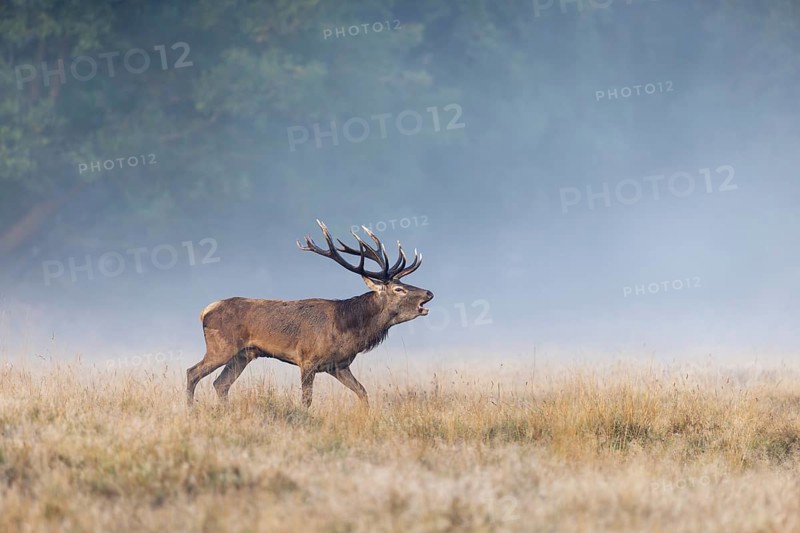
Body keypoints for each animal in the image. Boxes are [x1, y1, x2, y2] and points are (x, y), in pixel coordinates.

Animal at [186, 220, 433, 408]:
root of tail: (204, 311)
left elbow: (363, 392)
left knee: (221, 384)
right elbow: (306, 400)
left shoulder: (339, 365)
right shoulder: (307, 359)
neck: (348, 329)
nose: (429, 293)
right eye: (399, 289)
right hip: (221, 346)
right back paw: (191, 410)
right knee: (192, 372)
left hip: (243, 354)